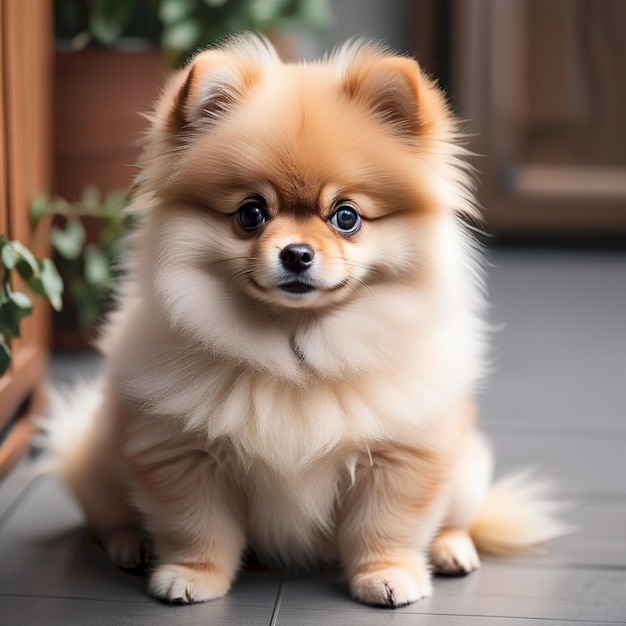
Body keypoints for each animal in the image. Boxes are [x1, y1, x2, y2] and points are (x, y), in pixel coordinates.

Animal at [41, 33, 564, 604]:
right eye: (251, 214)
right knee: (107, 515)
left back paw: (451, 550)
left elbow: (387, 525)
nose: (296, 254)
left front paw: (388, 575)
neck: (296, 352)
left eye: (346, 217)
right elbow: (197, 526)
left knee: (456, 517)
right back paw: (127, 544)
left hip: (466, 468)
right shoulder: (180, 453)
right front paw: (191, 575)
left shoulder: (404, 455)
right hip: (99, 459)